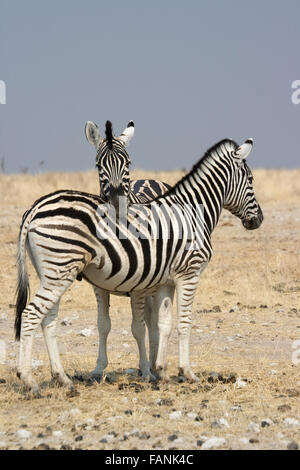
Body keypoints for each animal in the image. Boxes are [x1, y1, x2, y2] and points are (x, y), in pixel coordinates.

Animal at [14, 136, 262, 392]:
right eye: (251, 180)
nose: (258, 220)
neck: (192, 212)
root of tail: (35, 207)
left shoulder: (166, 281)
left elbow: (163, 324)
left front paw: (161, 371)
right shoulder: (189, 273)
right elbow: (184, 322)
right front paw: (187, 372)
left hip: (52, 272)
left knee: (48, 319)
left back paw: (62, 378)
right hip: (60, 268)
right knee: (30, 314)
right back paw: (28, 378)